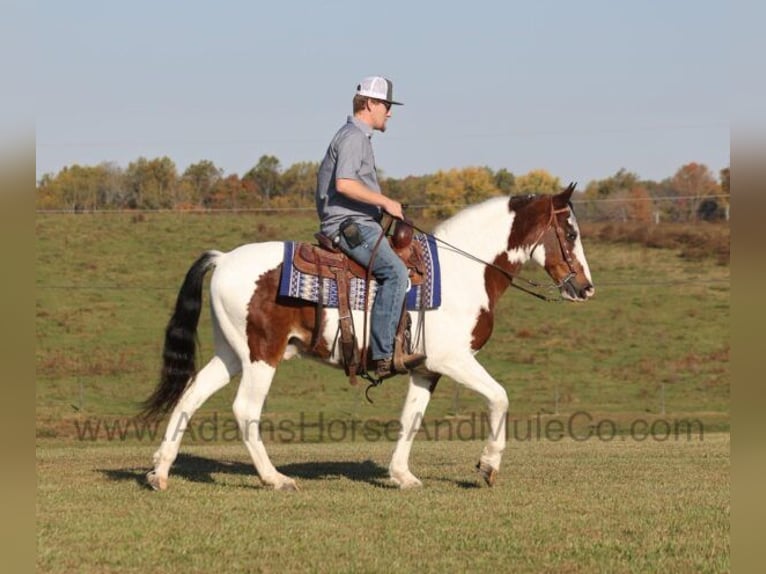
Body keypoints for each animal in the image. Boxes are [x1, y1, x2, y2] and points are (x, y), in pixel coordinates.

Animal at [142, 183, 594, 491]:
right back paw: (275, 478)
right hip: (261, 354)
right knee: (245, 409)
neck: (464, 272)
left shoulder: (426, 369)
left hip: (231, 353)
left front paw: (401, 475)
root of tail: (223, 260)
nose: (586, 288)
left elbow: (411, 419)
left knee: (191, 395)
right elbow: (500, 397)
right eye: (571, 233)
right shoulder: (454, 360)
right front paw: (488, 465)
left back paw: (160, 472)